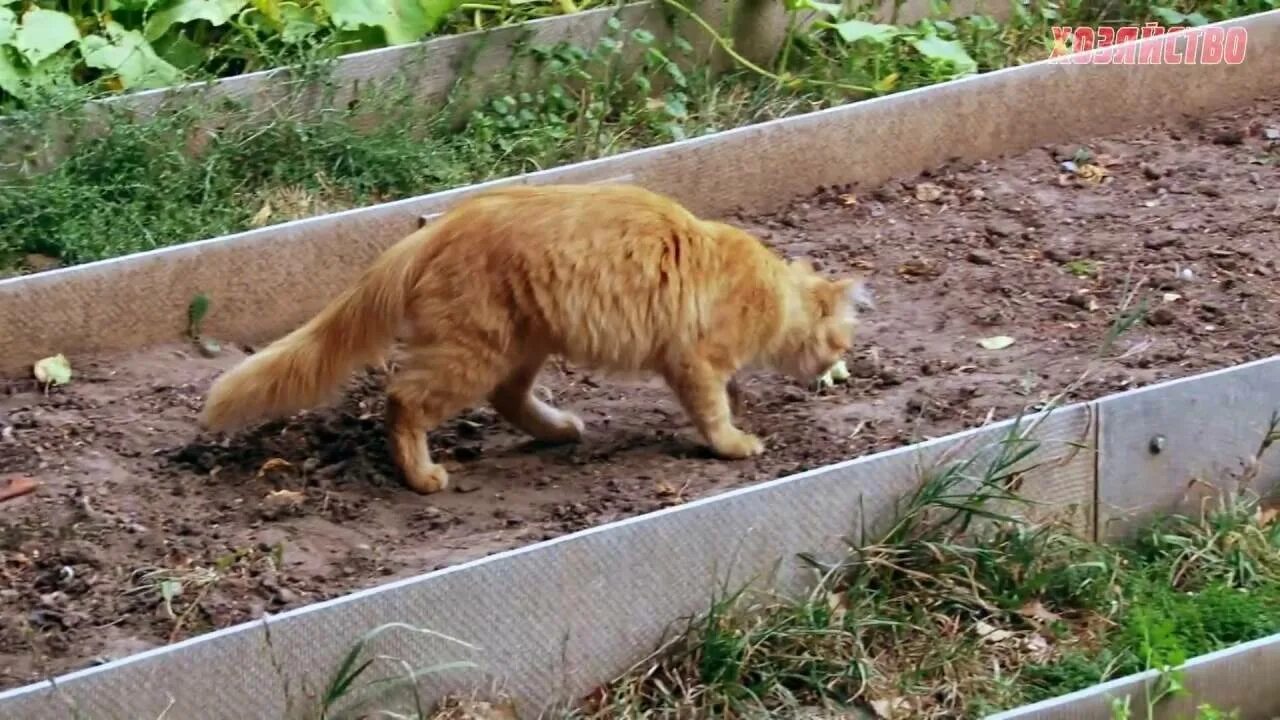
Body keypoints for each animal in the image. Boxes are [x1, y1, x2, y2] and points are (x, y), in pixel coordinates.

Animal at [199, 181, 875, 489]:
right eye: (841, 343)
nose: (839, 365)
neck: (772, 291)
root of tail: (445, 224)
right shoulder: (694, 363)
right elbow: (713, 414)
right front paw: (736, 443)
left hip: (522, 346)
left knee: (506, 400)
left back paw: (559, 431)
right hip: (472, 354)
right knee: (402, 401)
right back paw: (422, 476)